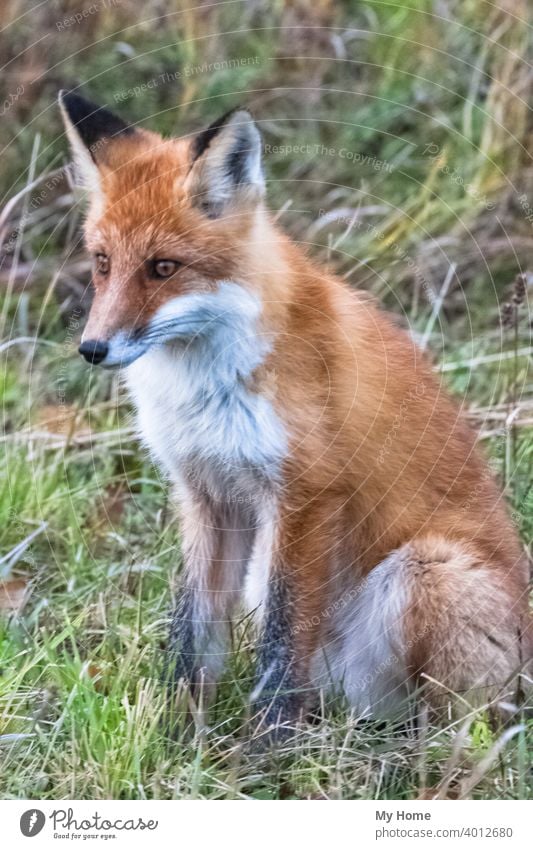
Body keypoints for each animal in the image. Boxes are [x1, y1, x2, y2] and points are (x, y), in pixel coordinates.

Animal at [59, 89, 532, 732]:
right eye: (103, 262)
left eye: (163, 267)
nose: (92, 349)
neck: (204, 385)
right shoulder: (209, 495)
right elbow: (192, 633)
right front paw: (179, 729)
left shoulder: (307, 496)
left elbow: (282, 640)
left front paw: (264, 744)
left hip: (427, 570)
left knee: (458, 722)